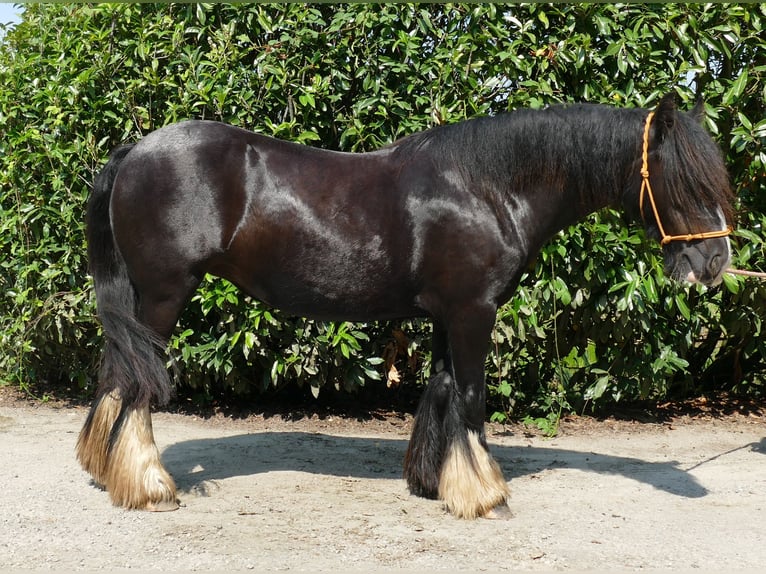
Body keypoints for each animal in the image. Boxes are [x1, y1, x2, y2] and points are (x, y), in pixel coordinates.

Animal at [79, 94, 736, 516]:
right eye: (683, 181)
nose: (715, 262)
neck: (488, 188)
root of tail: (134, 152)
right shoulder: (473, 311)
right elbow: (470, 397)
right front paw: (485, 495)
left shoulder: (450, 314)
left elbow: (441, 391)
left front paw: (435, 482)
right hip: (163, 295)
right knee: (137, 382)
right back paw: (150, 487)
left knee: (116, 374)